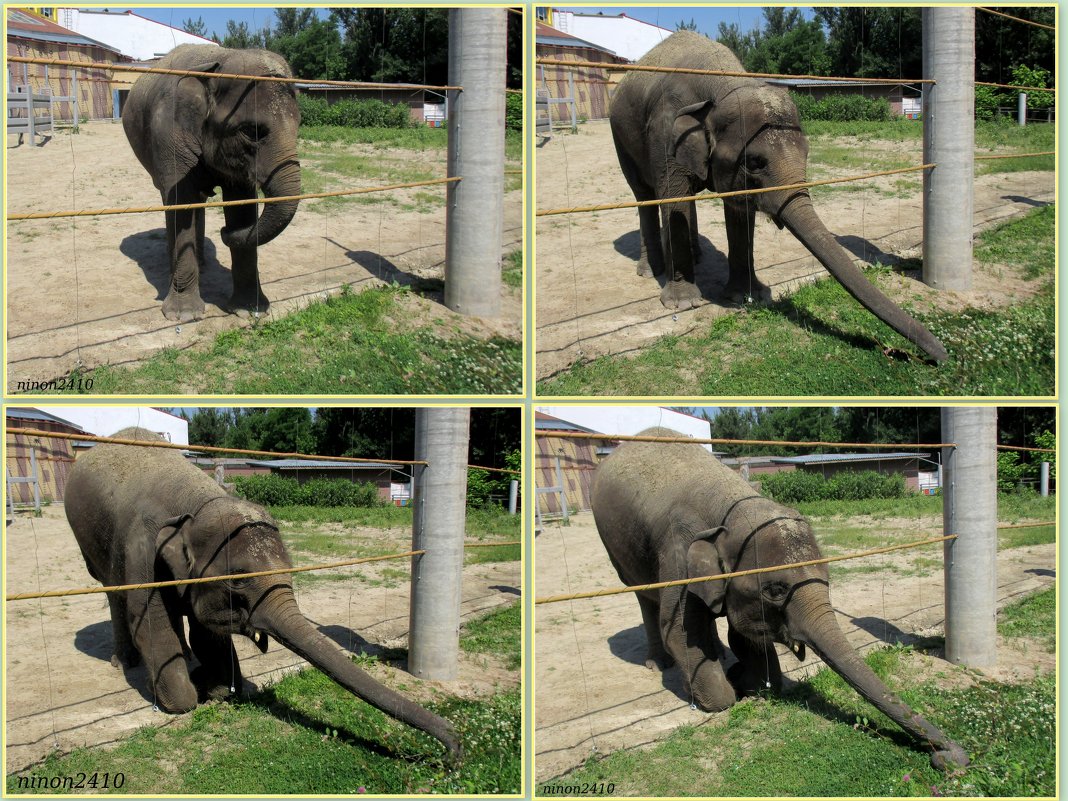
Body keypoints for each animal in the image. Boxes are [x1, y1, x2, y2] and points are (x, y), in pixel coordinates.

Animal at [64, 427, 461, 764]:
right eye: (240, 582)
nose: (454, 747)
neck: (197, 500)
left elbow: (208, 632)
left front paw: (217, 686)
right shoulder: (142, 550)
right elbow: (152, 625)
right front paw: (182, 692)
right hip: (91, 547)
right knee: (114, 595)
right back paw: (124, 663)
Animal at [122, 44, 303, 322]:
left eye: (300, 125)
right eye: (250, 132)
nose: (224, 233)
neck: (220, 62)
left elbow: (241, 206)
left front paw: (249, 310)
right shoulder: (169, 137)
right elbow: (180, 203)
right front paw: (184, 316)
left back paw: (203, 263)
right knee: (172, 201)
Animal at [593, 429, 969, 773]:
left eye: (828, 578)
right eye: (775, 590)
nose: (950, 757)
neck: (731, 505)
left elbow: (744, 637)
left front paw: (745, 677)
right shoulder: (678, 556)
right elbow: (682, 634)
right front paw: (722, 689)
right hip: (615, 549)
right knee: (644, 598)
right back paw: (659, 664)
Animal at [610, 31, 952, 363]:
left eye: (807, 154)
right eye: (755, 162)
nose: (940, 357)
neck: (722, 85)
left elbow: (738, 210)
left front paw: (749, 296)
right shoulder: (665, 134)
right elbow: (674, 198)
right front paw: (683, 305)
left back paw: (697, 257)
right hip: (620, 137)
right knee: (643, 195)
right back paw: (650, 270)